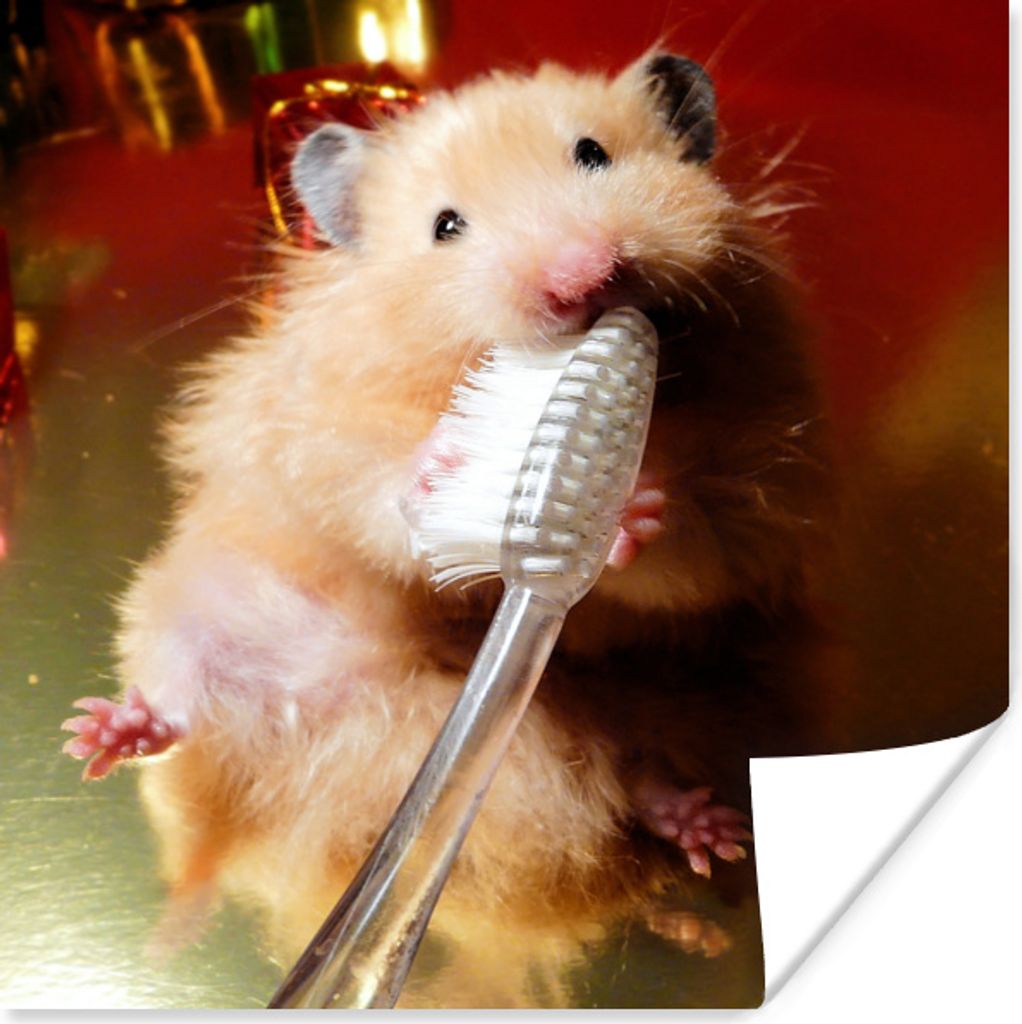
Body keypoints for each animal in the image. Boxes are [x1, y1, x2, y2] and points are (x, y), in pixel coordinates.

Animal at [62, 51, 830, 982]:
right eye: (446, 226)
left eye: (594, 155)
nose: (582, 277)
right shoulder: (315, 434)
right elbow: (378, 493)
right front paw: (440, 466)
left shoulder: (763, 485)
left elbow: (692, 547)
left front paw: (629, 510)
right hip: (187, 608)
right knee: (182, 708)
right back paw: (106, 739)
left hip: (701, 698)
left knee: (640, 783)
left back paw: (705, 830)